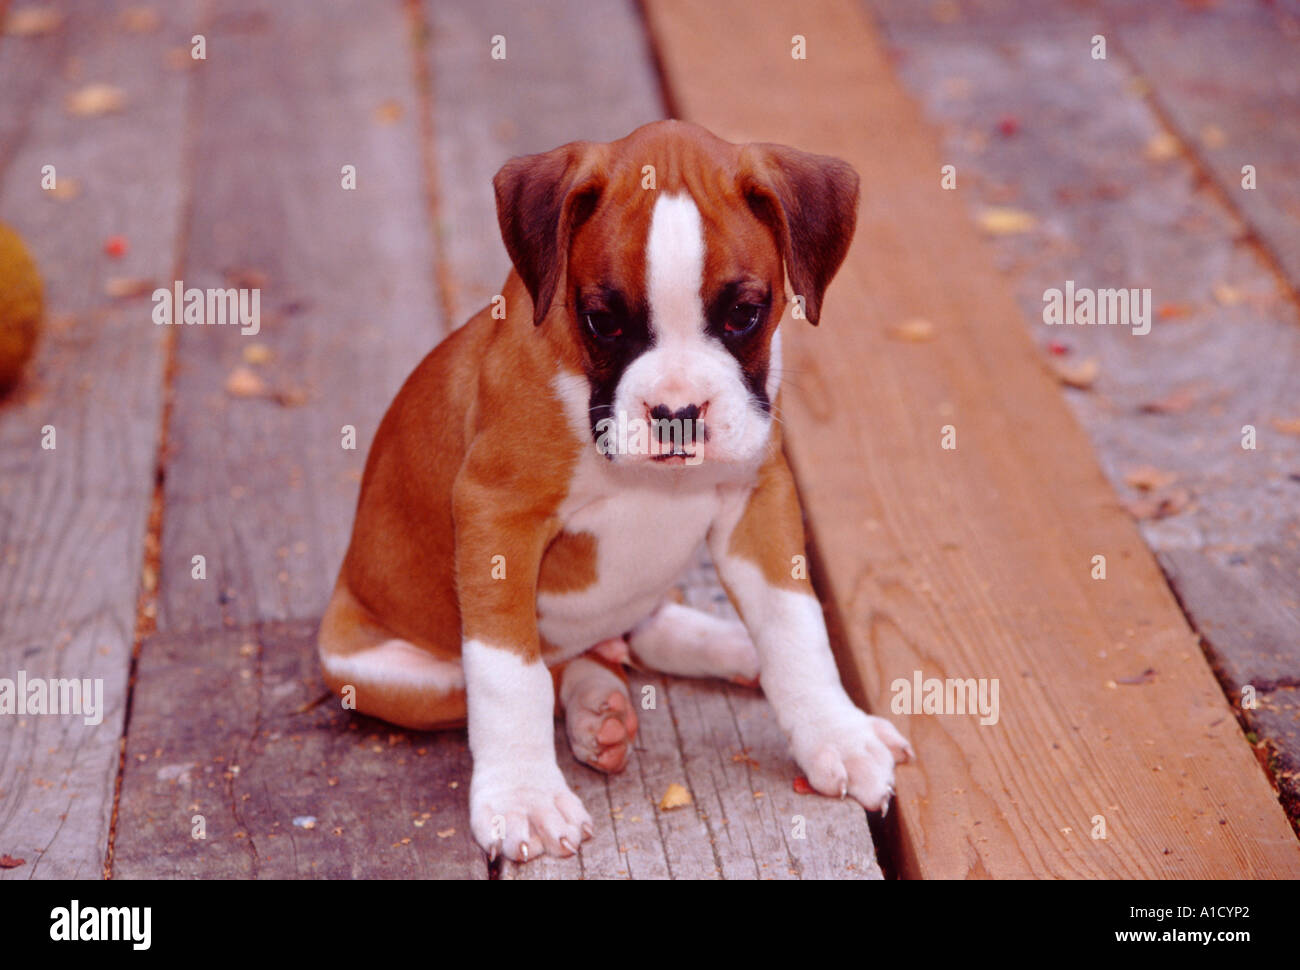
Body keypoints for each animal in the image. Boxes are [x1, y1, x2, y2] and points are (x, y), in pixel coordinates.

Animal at [322, 117, 915, 858]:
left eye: (745, 314)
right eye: (602, 321)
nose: (676, 411)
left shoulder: (758, 496)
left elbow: (793, 625)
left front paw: (838, 733)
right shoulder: (496, 516)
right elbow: (507, 674)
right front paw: (522, 796)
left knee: (638, 632)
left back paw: (717, 651)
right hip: (377, 675)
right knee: (545, 668)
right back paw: (594, 704)